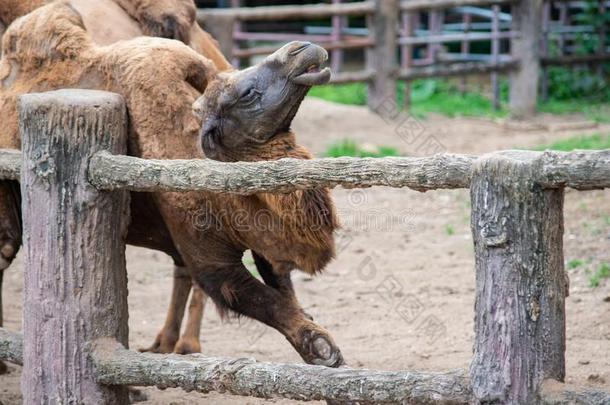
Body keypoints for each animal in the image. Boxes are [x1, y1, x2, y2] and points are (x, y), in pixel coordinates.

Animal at [0, 0, 344, 372]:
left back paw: (171, 344)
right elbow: (260, 298)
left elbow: (282, 286)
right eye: (246, 95)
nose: (301, 49)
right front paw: (322, 347)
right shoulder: (209, 257)